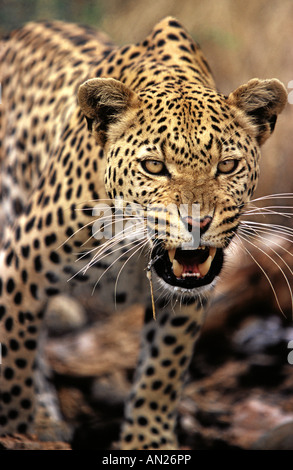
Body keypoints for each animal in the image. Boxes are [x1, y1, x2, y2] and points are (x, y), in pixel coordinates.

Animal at [0, 16, 286, 450]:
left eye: (227, 165)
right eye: (153, 166)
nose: (197, 222)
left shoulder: (186, 296)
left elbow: (162, 369)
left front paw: (146, 442)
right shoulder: (18, 266)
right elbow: (13, 363)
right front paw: (15, 428)